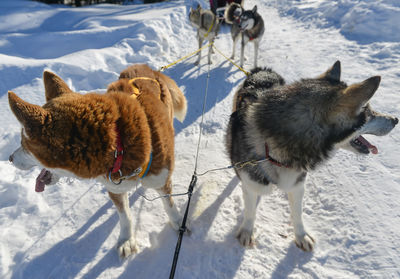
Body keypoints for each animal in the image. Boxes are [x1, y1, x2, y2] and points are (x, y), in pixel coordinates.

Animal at [8, 64, 188, 260]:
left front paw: (178, 222)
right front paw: (127, 239)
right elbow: (125, 216)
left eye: (24, 143)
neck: (119, 143)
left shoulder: (161, 179)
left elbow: (169, 204)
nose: (9, 158)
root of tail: (144, 67)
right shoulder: (115, 187)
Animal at [227, 61, 398, 252]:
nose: (395, 119)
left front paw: (301, 236)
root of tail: (262, 71)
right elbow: (250, 211)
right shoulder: (251, 184)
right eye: (368, 111)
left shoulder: (297, 186)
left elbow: (297, 214)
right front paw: (247, 231)